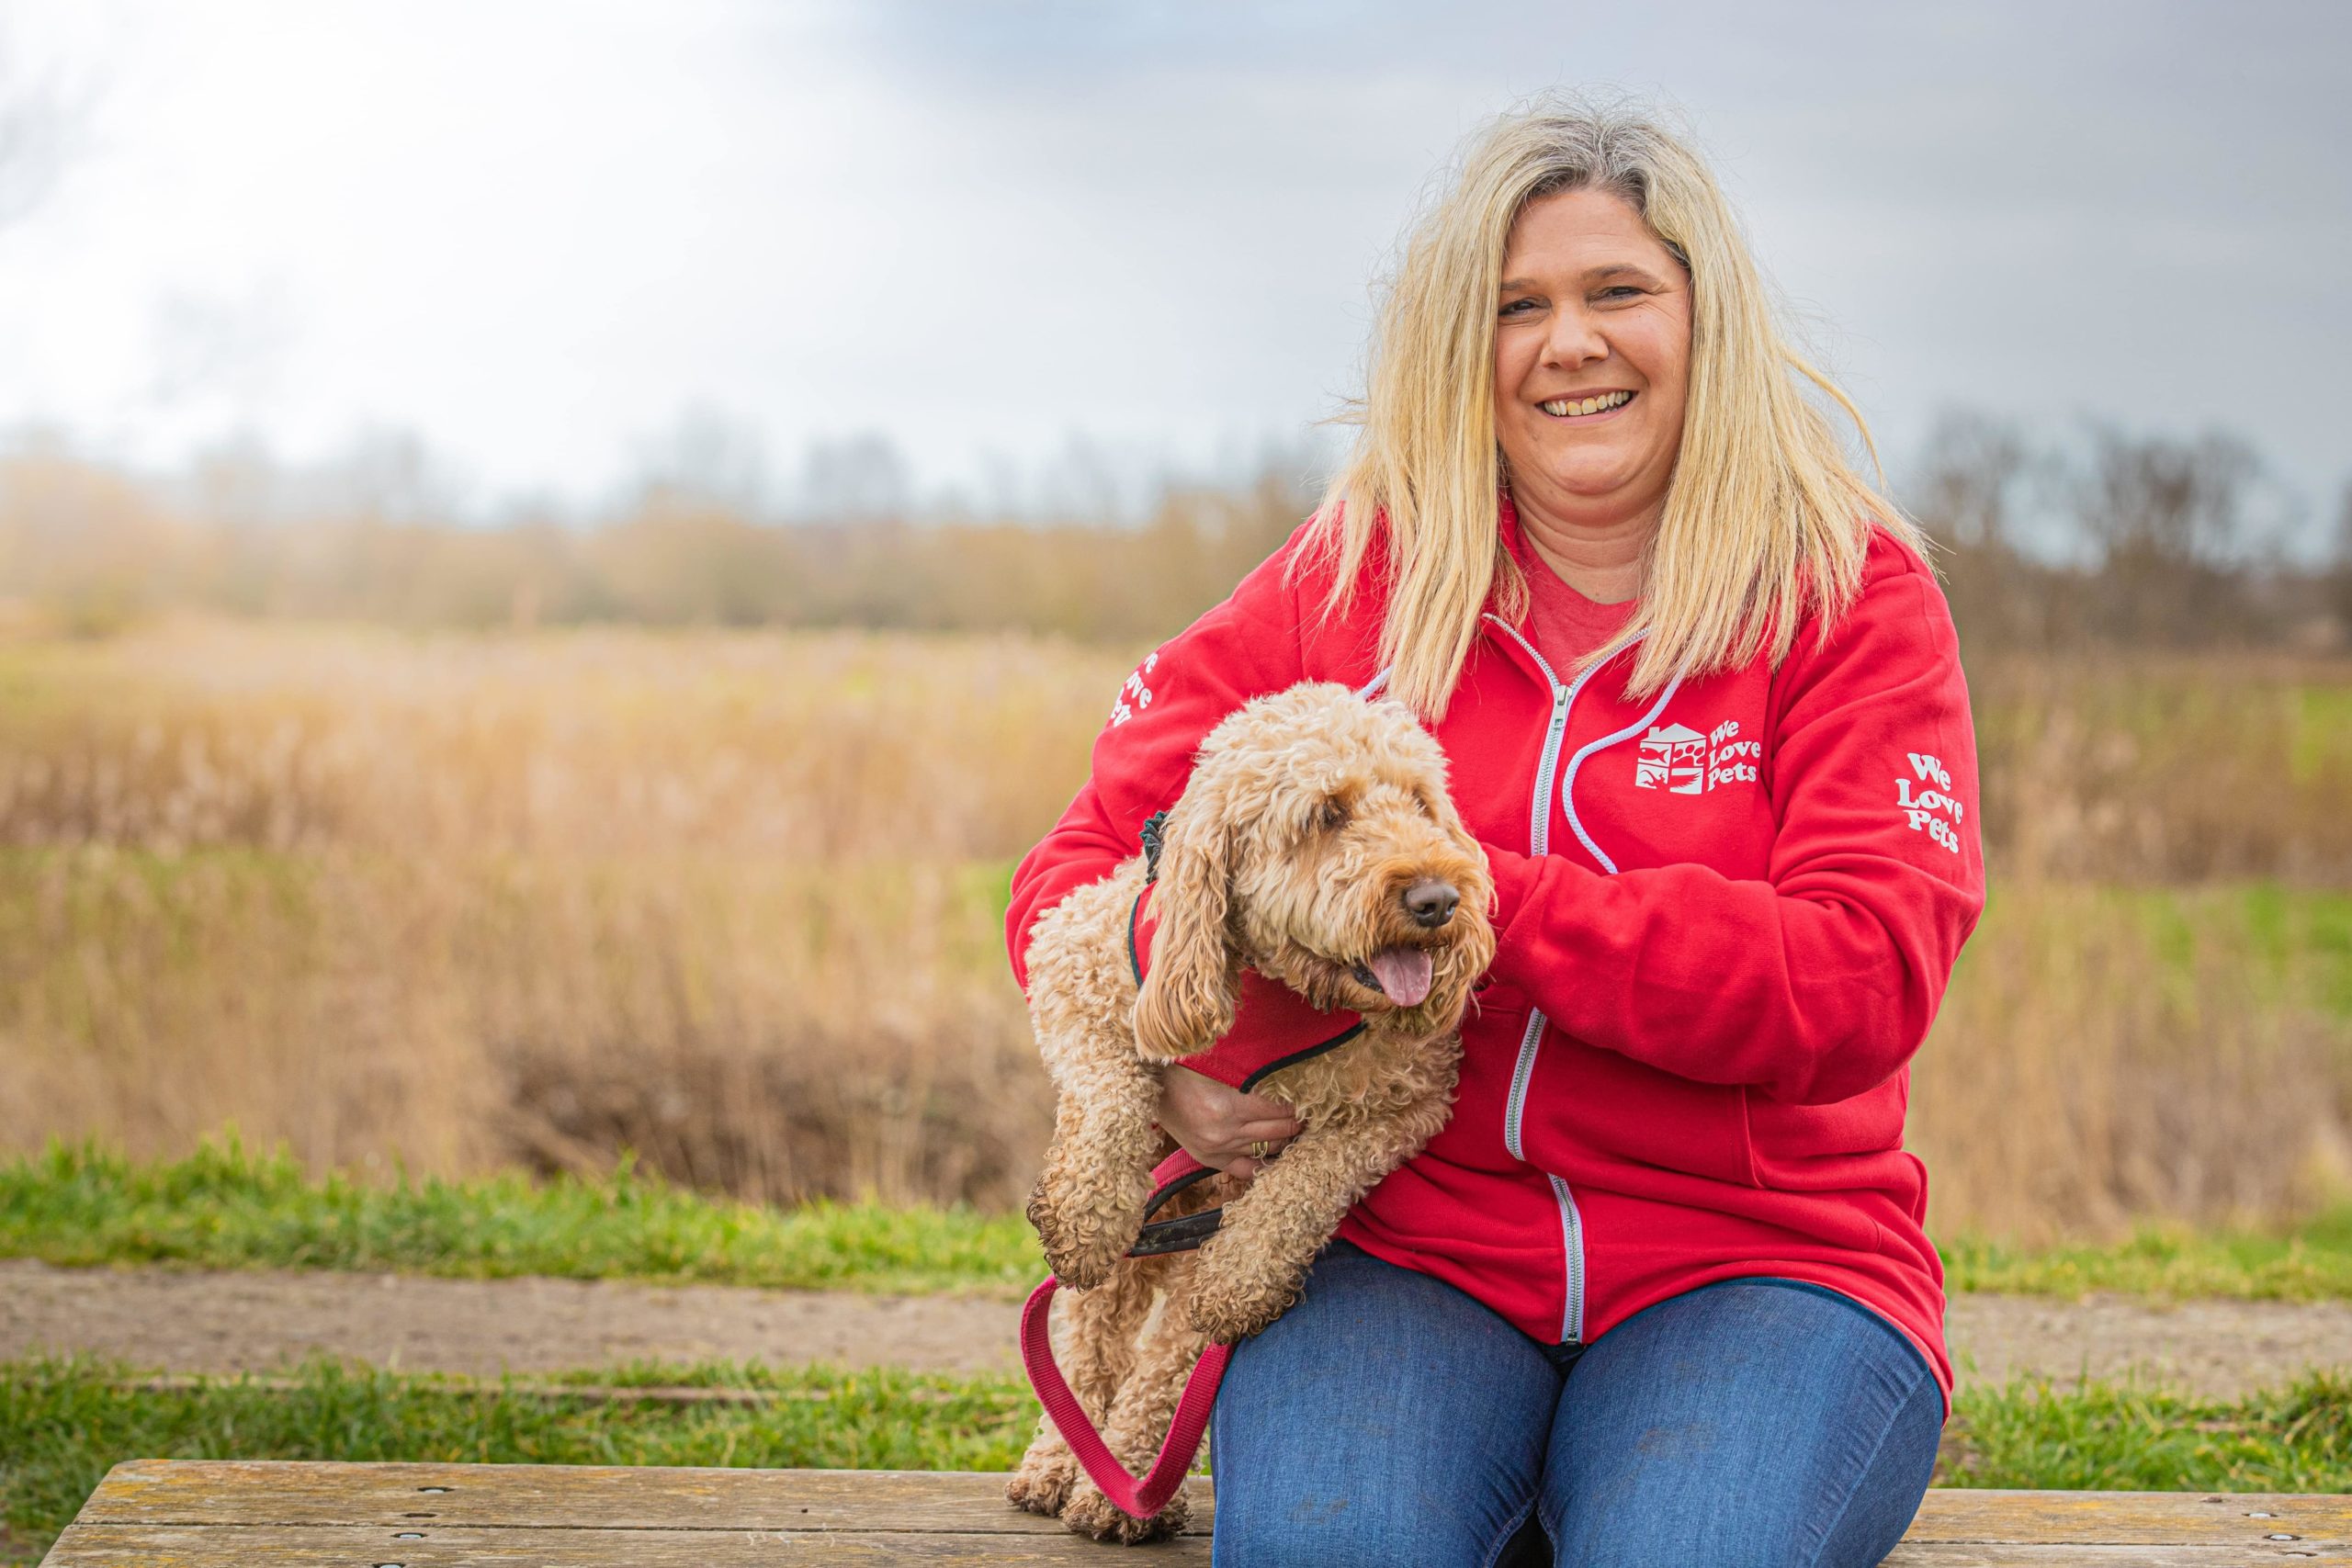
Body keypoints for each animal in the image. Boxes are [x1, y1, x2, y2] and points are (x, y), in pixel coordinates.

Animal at [1006, 682, 1486, 1541]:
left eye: (1421, 802)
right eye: (1327, 813)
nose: (1437, 899)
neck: (1279, 983)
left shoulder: (1407, 1099)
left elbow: (1300, 1188)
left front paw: (1244, 1279)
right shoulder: (1076, 960)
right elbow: (1111, 1090)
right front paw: (1085, 1214)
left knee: (1159, 1356)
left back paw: (1122, 1482)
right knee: (1093, 1333)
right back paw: (1058, 1461)